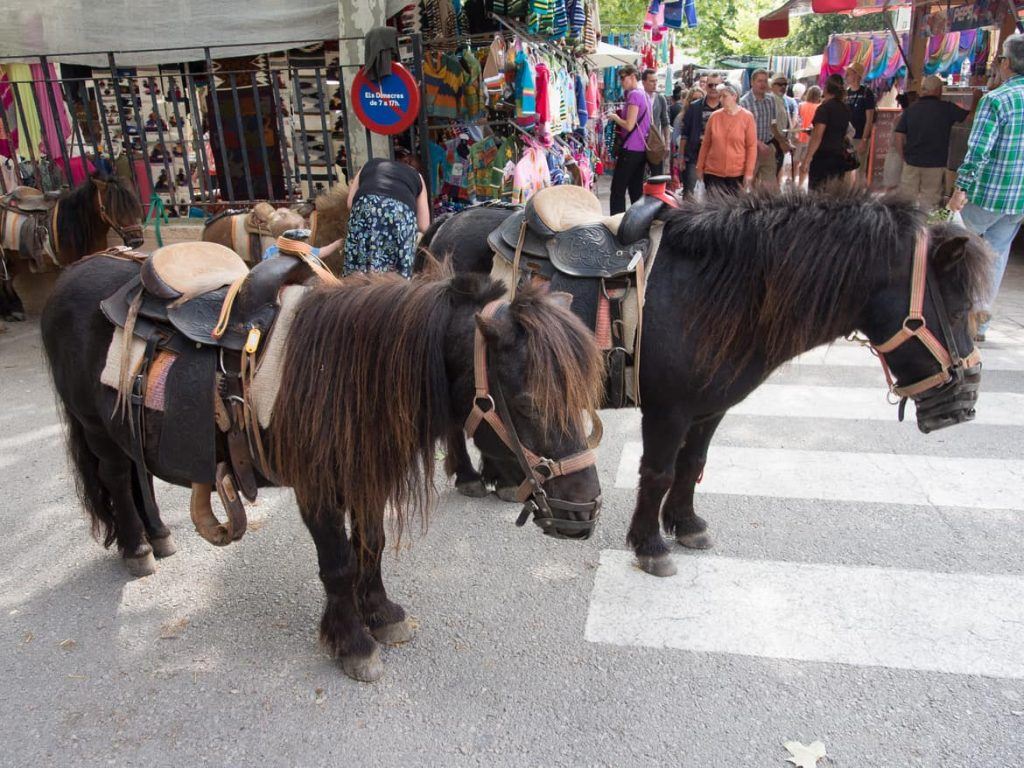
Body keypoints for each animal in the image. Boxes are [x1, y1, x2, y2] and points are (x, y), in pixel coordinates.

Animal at [423, 189, 991, 577]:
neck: (720, 291)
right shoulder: (667, 410)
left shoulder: (710, 408)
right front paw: (650, 544)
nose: (963, 403)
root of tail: (449, 220)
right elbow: (656, 472)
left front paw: (686, 524)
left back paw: (498, 476)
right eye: (957, 306)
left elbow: (691, 465)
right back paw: (471, 476)